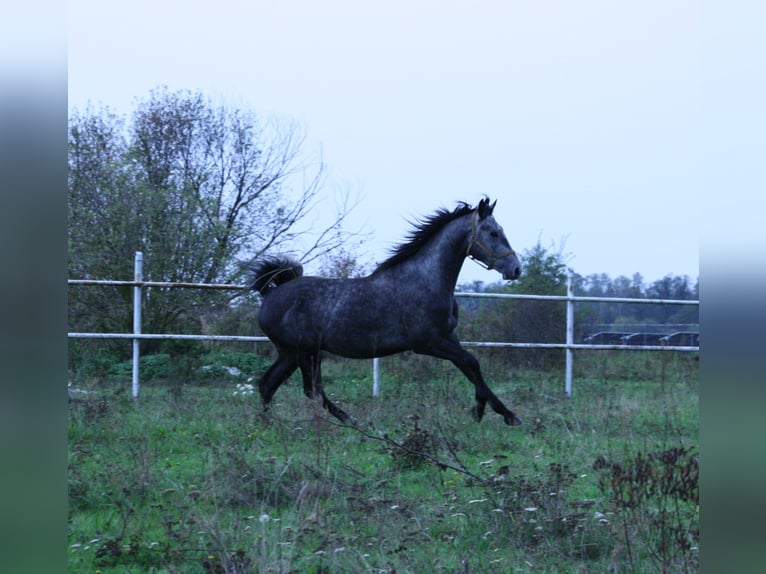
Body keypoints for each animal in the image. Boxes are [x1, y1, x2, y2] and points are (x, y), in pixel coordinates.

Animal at [249, 198, 524, 428]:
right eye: (494, 232)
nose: (515, 269)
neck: (424, 280)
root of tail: (270, 294)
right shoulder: (427, 343)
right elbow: (470, 362)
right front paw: (494, 412)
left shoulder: (448, 337)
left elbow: (470, 367)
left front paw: (493, 411)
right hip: (303, 352)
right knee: (308, 389)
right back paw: (349, 421)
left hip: (293, 353)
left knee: (270, 384)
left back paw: (268, 424)